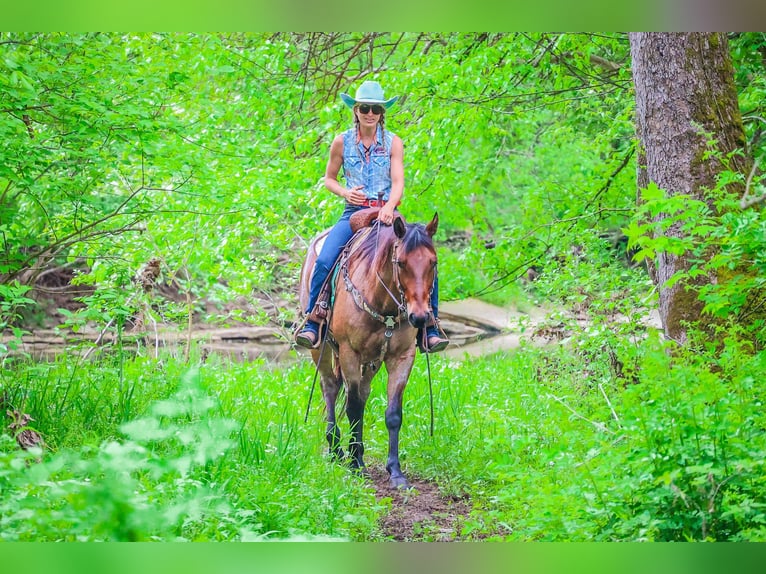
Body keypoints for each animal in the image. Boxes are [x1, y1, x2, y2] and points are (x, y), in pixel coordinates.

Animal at [302, 212, 440, 490]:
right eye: (401, 263)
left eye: (433, 262)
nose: (420, 317)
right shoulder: (349, 352)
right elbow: (353, 408)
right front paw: (356, 464)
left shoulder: (402, 357)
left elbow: (393, 414)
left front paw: (395, 472)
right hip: (322, 349)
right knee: (330, 387)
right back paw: (336, 450)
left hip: (372, 361)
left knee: (360, 392)